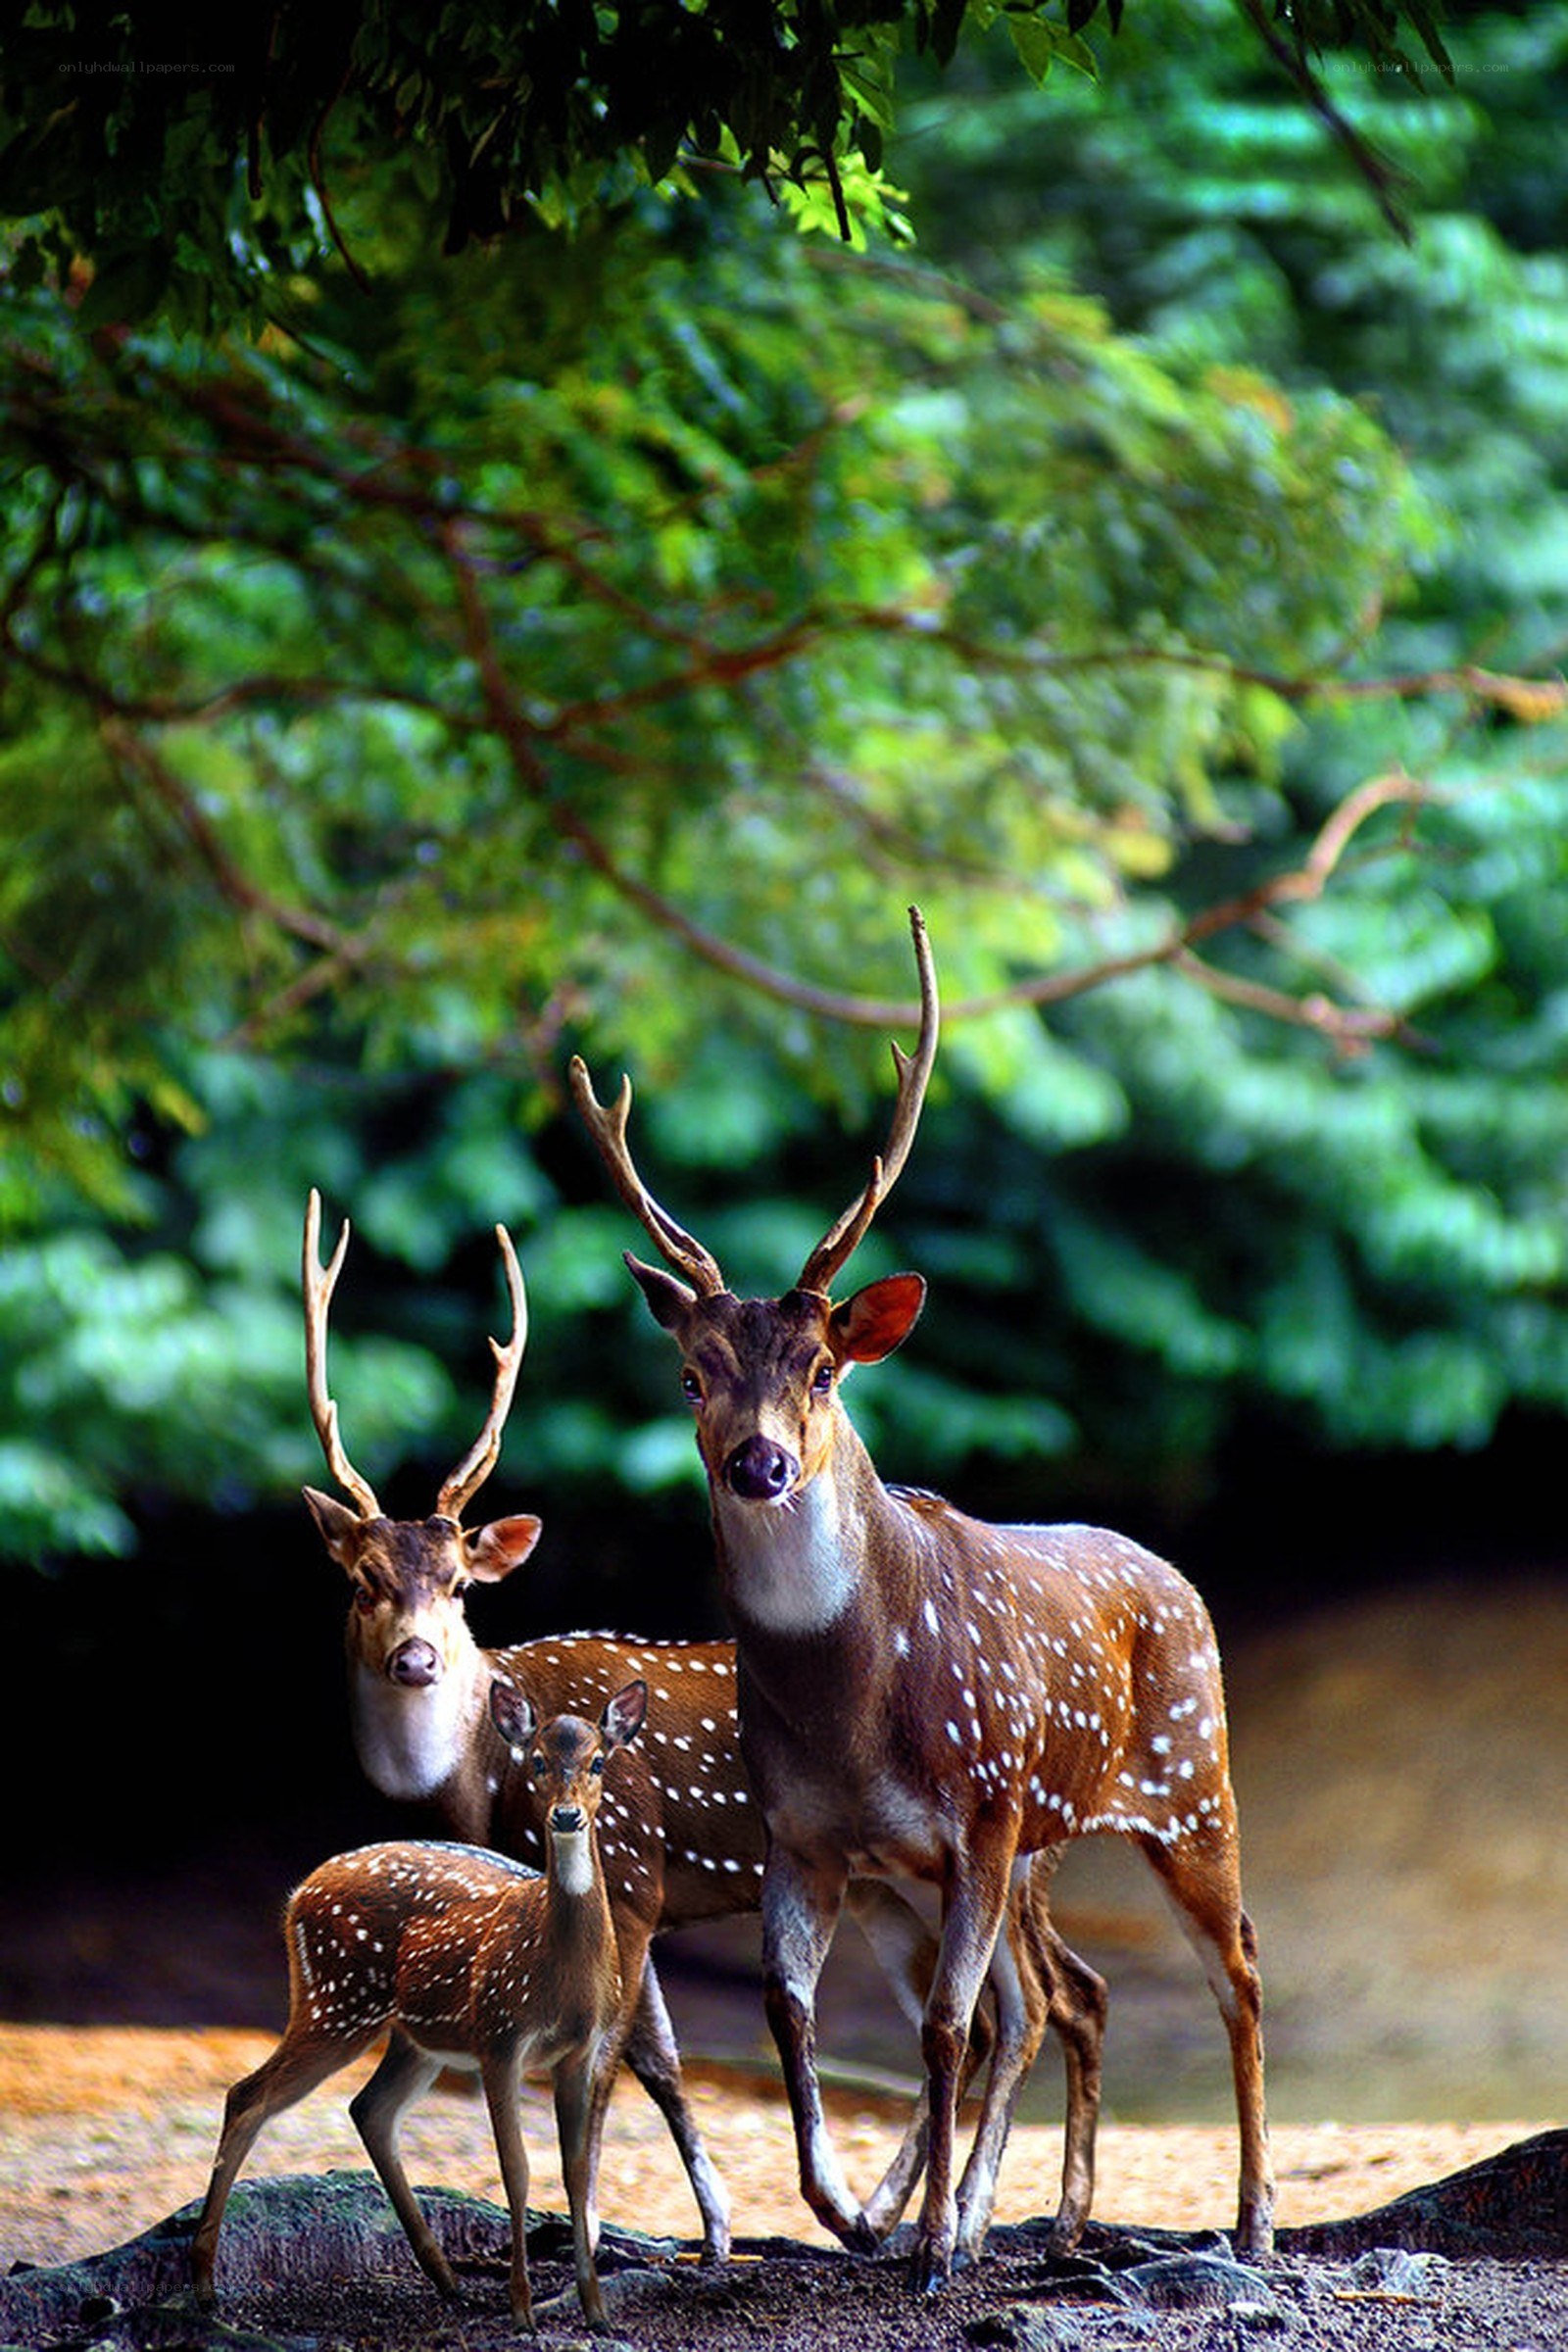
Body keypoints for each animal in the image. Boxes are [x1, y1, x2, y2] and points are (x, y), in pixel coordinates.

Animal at [190, 1679, 650, 2333]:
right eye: (536, 1761)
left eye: (598, 1762)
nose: (566, 1816)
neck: (560, 1975)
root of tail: (297, 1895)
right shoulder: (499, 2035)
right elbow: (517, 2169)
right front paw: (522, 2310)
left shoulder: (580, 2051)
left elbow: (578, 2170)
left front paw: (595, 2311)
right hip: (338, 2001)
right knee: (247, 2095)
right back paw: (204, 2286)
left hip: (412, 2037)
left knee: (369, 2108)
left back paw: (447, 2278)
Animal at [301, 1191, 1109, 2264]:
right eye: (362, 1583)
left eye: (461, 1586)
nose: (416, 1659)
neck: (482, 1778)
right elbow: (660, 2061)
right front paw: (710, 2231)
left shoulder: (630, 1865)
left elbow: (616, 2058)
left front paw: (626, 2232)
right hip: (896, 1882)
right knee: (1025, 2008)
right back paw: (928, 2218)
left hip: (1007, 1853)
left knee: (1038, 2003)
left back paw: (967, 2222)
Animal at [569, 903, 1274, 2293]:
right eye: (689, 1375)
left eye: (824, 1367)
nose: (758, 1462)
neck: (854, 1706)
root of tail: (1177, 1580)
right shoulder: (807, 1835)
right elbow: (791, 2010)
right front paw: (849, 2212)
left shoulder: (978, 1809)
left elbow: (944, 2028)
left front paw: (932, 2245)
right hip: (1043, 1838)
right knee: (1068, 1992)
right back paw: (1048, 2220)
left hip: (1185, 1781)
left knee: (1232, 1969)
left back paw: (1251, 2220)